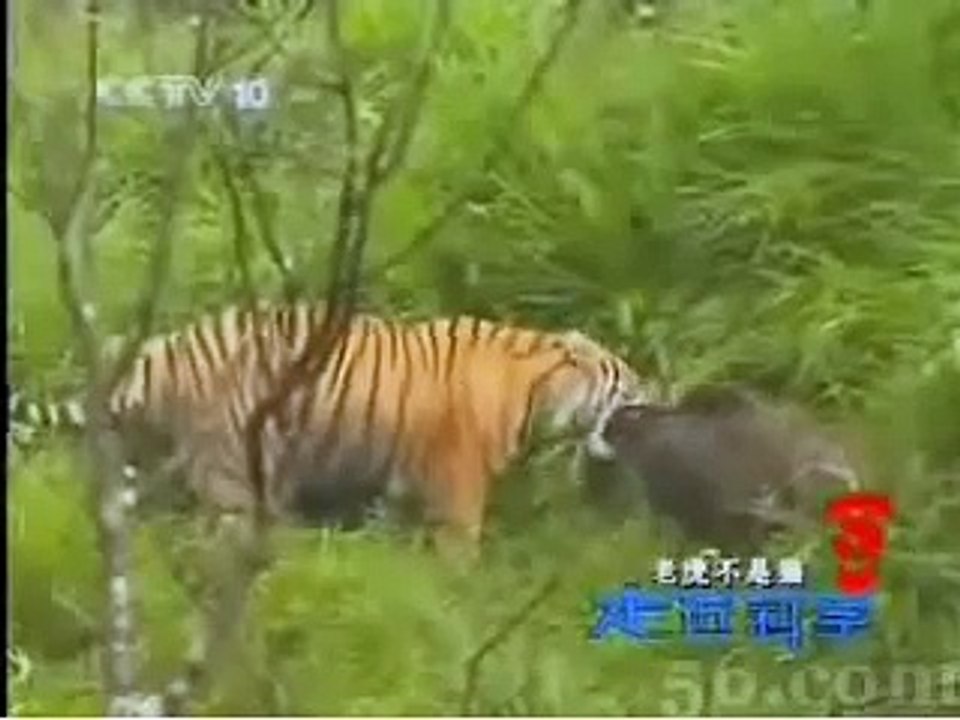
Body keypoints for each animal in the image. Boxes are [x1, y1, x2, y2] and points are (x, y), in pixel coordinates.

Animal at [10, 302, 661, 553]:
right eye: (626, 386)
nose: (657, 400)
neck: (537, 385)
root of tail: (163, 353)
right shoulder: (457, 479)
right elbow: (460, 542)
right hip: (233, 469)